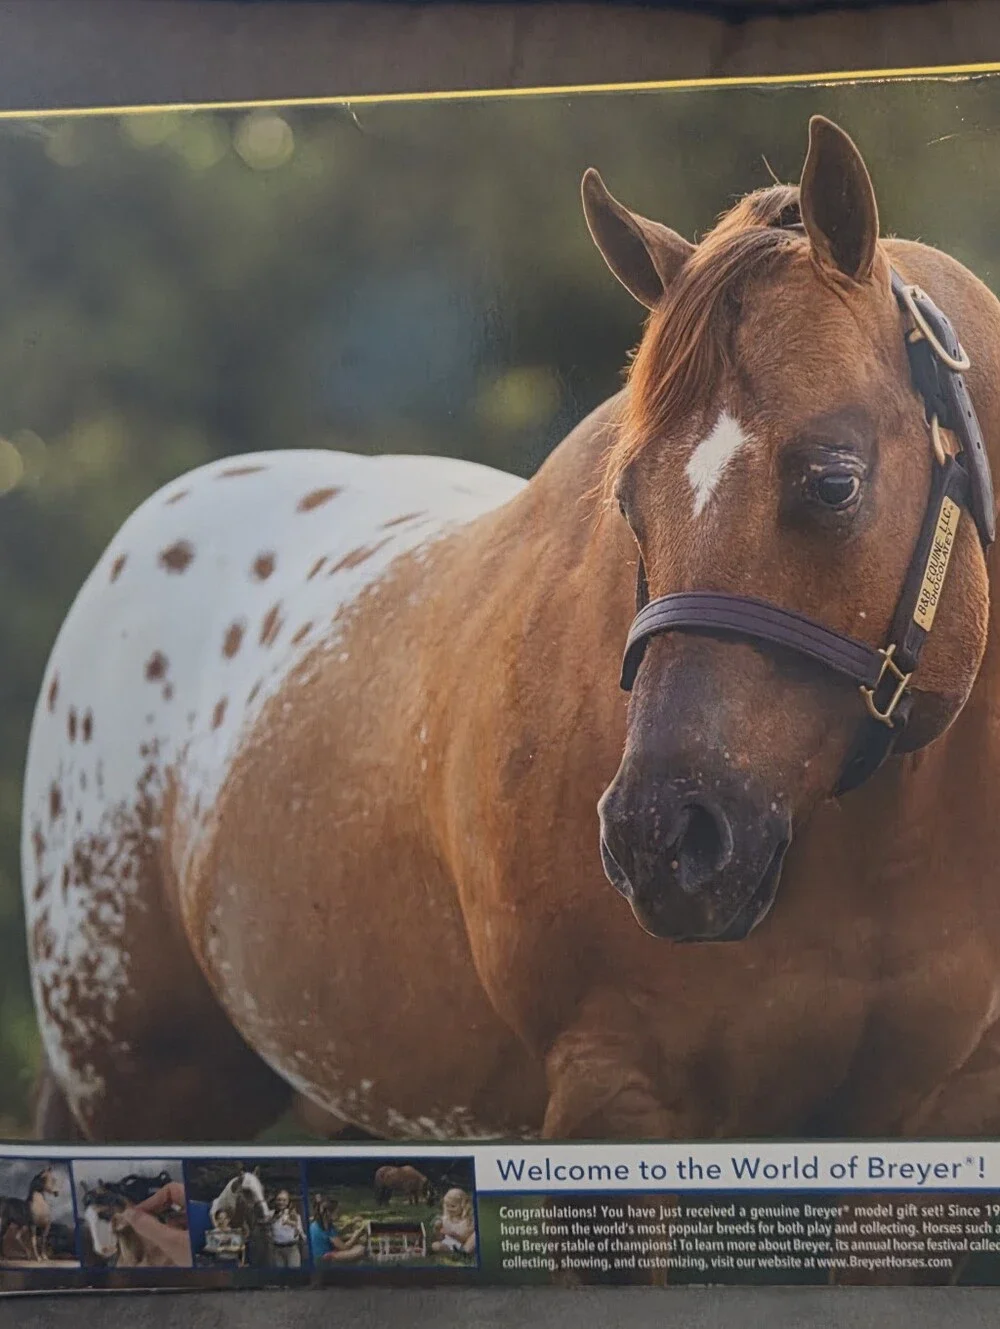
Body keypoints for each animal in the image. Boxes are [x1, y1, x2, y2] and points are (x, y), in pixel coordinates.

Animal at [21, 113, 1000, 1150]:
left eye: (834, 480)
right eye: (628, 499)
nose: (661, 840)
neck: (882, 848)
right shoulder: (618, 1095)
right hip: (139, 1094)